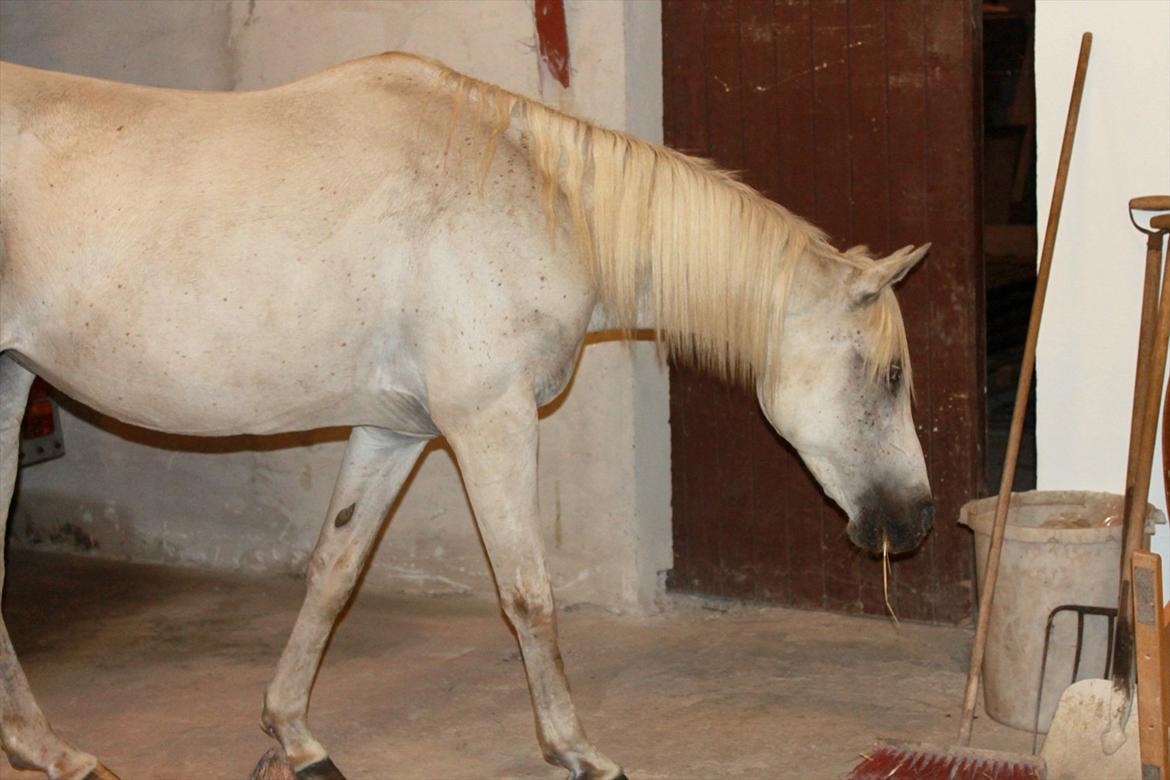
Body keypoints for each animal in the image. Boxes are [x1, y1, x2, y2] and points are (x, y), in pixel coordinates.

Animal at [0, 52, 933, 780]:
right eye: (888, 375)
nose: (917, 519)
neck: (535, 194)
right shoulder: (491, 421)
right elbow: (528, 592)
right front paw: (576, 749)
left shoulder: (395, 431)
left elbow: (334, 571)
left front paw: (295, 734)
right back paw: (55, 752)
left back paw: (48, 750)